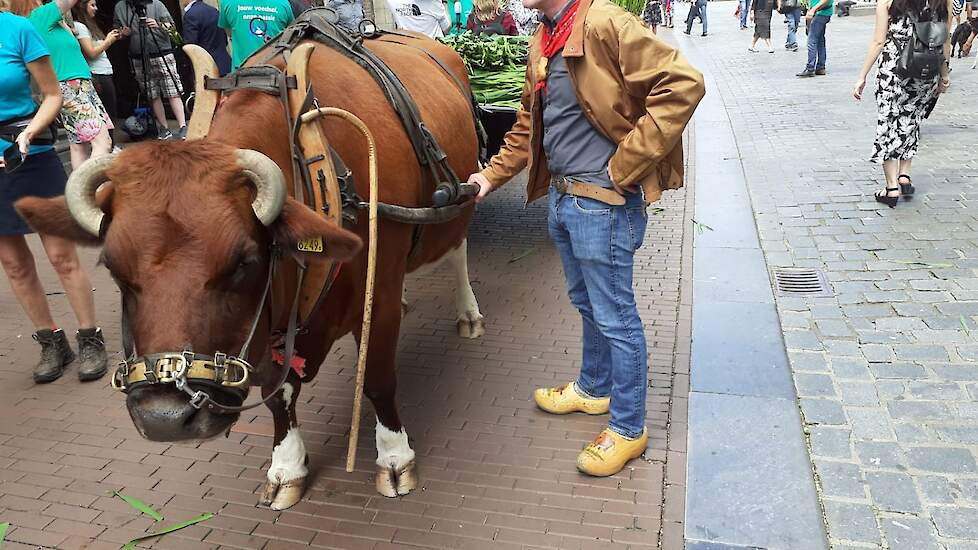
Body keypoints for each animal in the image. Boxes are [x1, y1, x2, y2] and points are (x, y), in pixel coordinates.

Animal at [13, 37, 486, 512]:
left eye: (243, 262)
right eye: (112, 268)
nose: (165, 418)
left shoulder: (379, 297)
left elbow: (377, 379)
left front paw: (394, 457)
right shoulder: (268, 329)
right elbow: (278, 394)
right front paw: (286, 466)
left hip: (456, 208)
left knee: (458, 251)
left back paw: (469, 314)